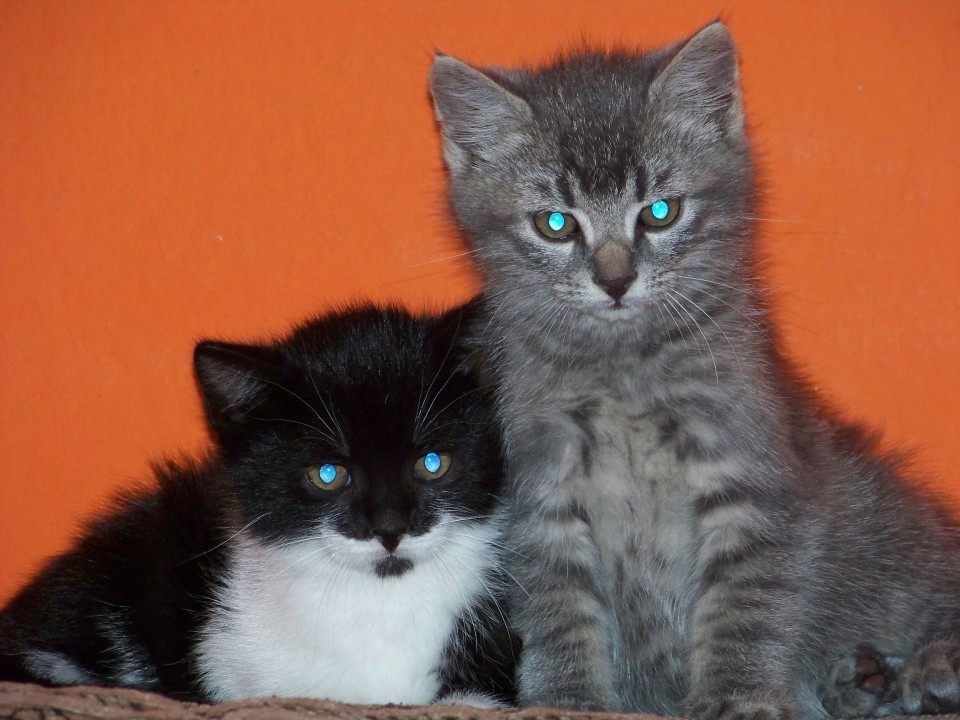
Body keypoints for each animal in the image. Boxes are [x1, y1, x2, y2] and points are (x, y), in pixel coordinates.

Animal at [432, 21, 960, 720]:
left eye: (661, 212)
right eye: (555, 224)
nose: (616, 280)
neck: (625, 373)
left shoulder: (750, 479)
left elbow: (744, 608)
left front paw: (738, 699)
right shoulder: (540, 495)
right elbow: (558, 612)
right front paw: (568, 700)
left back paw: (927, 669)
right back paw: (865, 681)